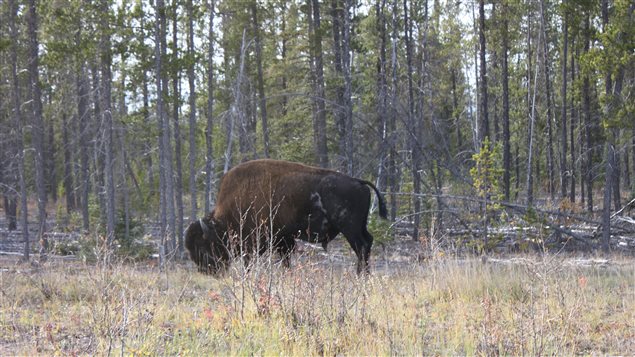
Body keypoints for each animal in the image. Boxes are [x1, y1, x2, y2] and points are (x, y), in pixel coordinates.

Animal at [184, 160, 388, 274]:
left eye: (202, 245)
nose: (205, 270)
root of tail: (358, 182)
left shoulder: (257, 243)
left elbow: (250, 261)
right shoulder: (283, 240)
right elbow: (286, 260)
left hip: (349, 228)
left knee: (361, 247)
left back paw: (360, 275)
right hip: (359, 226)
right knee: (368, 243)